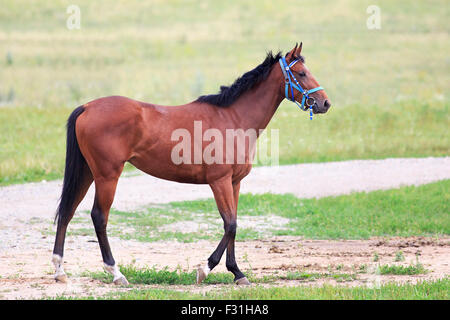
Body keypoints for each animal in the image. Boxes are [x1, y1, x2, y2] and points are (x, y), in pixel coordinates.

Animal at [51, 42, 330, 284]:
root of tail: (87, 106)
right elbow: (230, 225)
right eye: (302, 73)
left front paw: (237, 273)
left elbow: (234, 224)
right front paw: (205, 269)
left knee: (67, 212)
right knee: (99, 216)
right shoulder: (219, 182)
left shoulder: (235, 183)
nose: (325, 102)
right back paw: (116, 273)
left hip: (88, 172)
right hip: (107, 175)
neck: (234, 118)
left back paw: (59, 270)